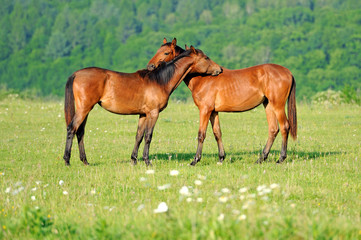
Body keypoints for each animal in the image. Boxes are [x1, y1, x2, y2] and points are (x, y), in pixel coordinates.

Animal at [62, 47, 219, 167]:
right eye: (206, 58)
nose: (219, 69)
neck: (159, 81)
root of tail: (76, 74)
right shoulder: (153, 113)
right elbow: (148, 136)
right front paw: (147, 161)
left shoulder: (143, 115)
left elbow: (139, 136)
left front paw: (134, 160)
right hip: (84, 109)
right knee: (72, 128)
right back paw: (67, 161)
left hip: (86, 110)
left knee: (80, 132)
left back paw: (85, 161)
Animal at [146, 38, 296, 165]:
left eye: (166, 52)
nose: (150, 66)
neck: (202, 78)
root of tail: (288, 72)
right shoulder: (213, 112)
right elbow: (217, 133)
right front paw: (221, 158)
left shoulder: (205, 110)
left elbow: (201, 134)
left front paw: (195, 160)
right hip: (268, 105)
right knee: (273, 129)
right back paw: (261, 158)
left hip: (278, 105)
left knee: (284, 127)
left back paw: (281, 158)